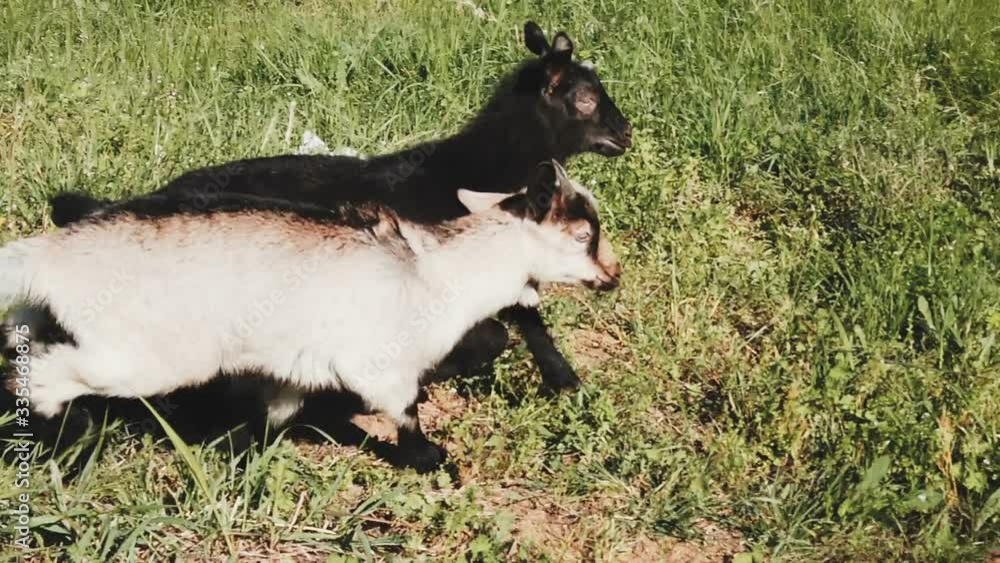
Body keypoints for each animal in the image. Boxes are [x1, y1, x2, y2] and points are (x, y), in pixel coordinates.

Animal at [1, 162, 619, 472]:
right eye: (585, 237)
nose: (614, 275)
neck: (440, 268)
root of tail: (47, 255)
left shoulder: (291, 370)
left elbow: (274, 416)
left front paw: (242, 456)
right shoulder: (381, 365)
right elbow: (406, 410)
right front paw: (431, 460)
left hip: (49, 318)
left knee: (23, 342)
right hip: (139, 358)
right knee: (46, 374)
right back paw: (67, 438)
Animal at [46, 21, 632, 392]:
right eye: (585, 100)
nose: (625, 133)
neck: (466, 171)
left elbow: (524, 315)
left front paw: (562, 378)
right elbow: (500, 329)